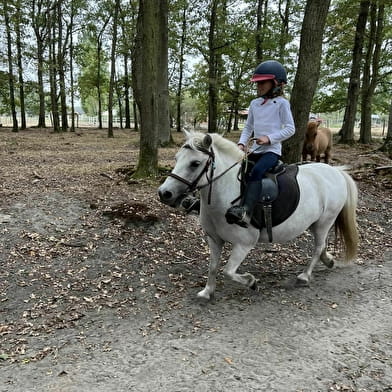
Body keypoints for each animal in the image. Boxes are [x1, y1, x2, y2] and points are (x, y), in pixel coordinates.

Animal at [158, 132, 358, 300]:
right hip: (315, 223)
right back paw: (328, 260)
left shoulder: (244, 244)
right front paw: (207, 292)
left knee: (318, 247)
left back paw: (305, 276)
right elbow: (213, 267)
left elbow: (228, 271)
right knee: (322, 245)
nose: (164, 193)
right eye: (176, 158)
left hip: (325, 221)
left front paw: (251, 282)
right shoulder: (214, 239)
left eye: (195, 163)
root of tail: (336, 171)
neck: (226, 192)